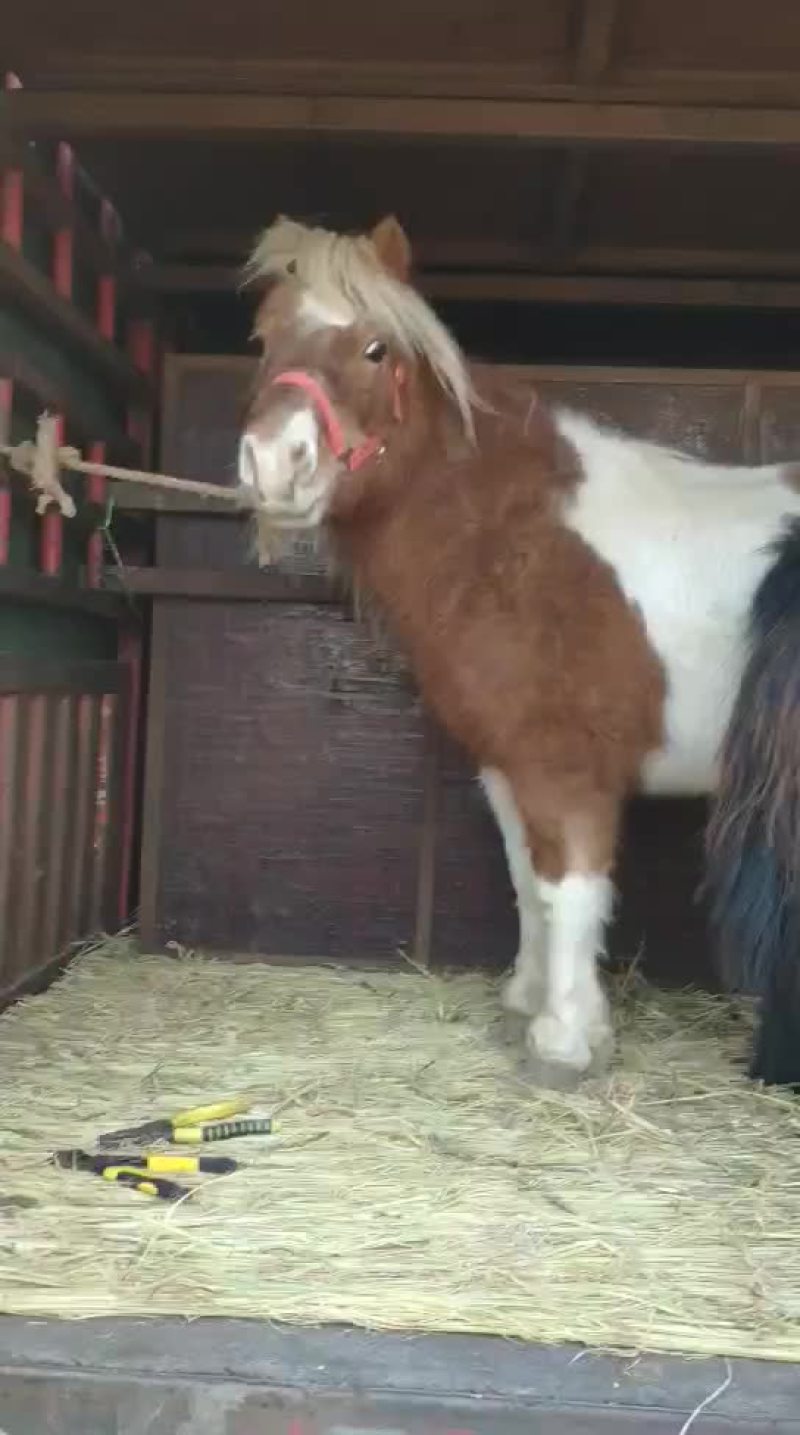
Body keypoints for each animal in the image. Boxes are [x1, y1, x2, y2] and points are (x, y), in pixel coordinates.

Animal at [237, 213, 800, 1090]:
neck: (520, 541)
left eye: (375, 349)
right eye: (264, 339)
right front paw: (532, 1003)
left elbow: (569, 891)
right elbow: (526, 883)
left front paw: (563, 1043)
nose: (273, 465)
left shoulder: (565, 769)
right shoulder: (507, 766)